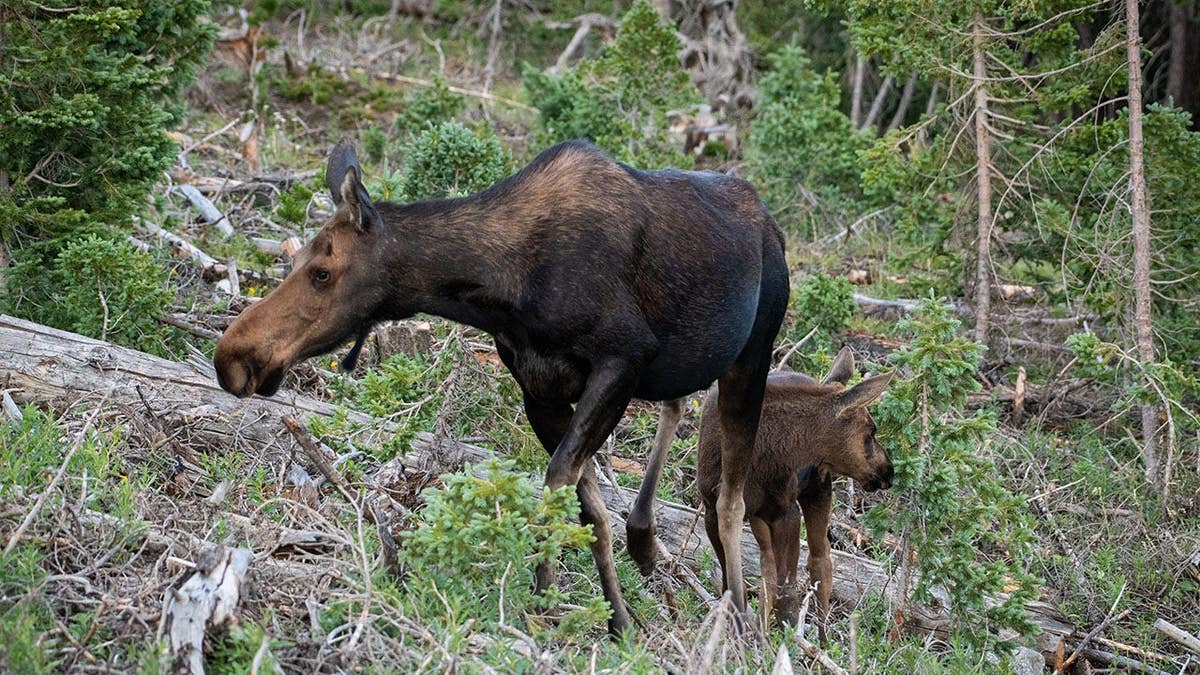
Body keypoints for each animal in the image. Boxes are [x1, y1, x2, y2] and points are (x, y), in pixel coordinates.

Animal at [213, 139, 789, 634]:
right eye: (293, 259)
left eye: (323, 272)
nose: (232, 358)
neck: (502, 289)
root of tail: (772, 224)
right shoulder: (540, 389)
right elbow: (588, 505)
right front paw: (614, 618)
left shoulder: (622, 359)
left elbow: (559, 482)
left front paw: (546, 595)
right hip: (685, 362)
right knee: (678, 404)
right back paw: (646, 539)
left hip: (752, 357)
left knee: (730, 499)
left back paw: (742, 616)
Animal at [696, 347, 894, 638]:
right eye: (871, 431)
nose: (888, 472)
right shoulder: (713, 509)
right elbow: (731, 581)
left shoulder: (786, 511)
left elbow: (787, 589)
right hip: (759, 514)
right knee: (768, 565)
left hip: (816, 491)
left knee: (819, 559)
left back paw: (823, 639)